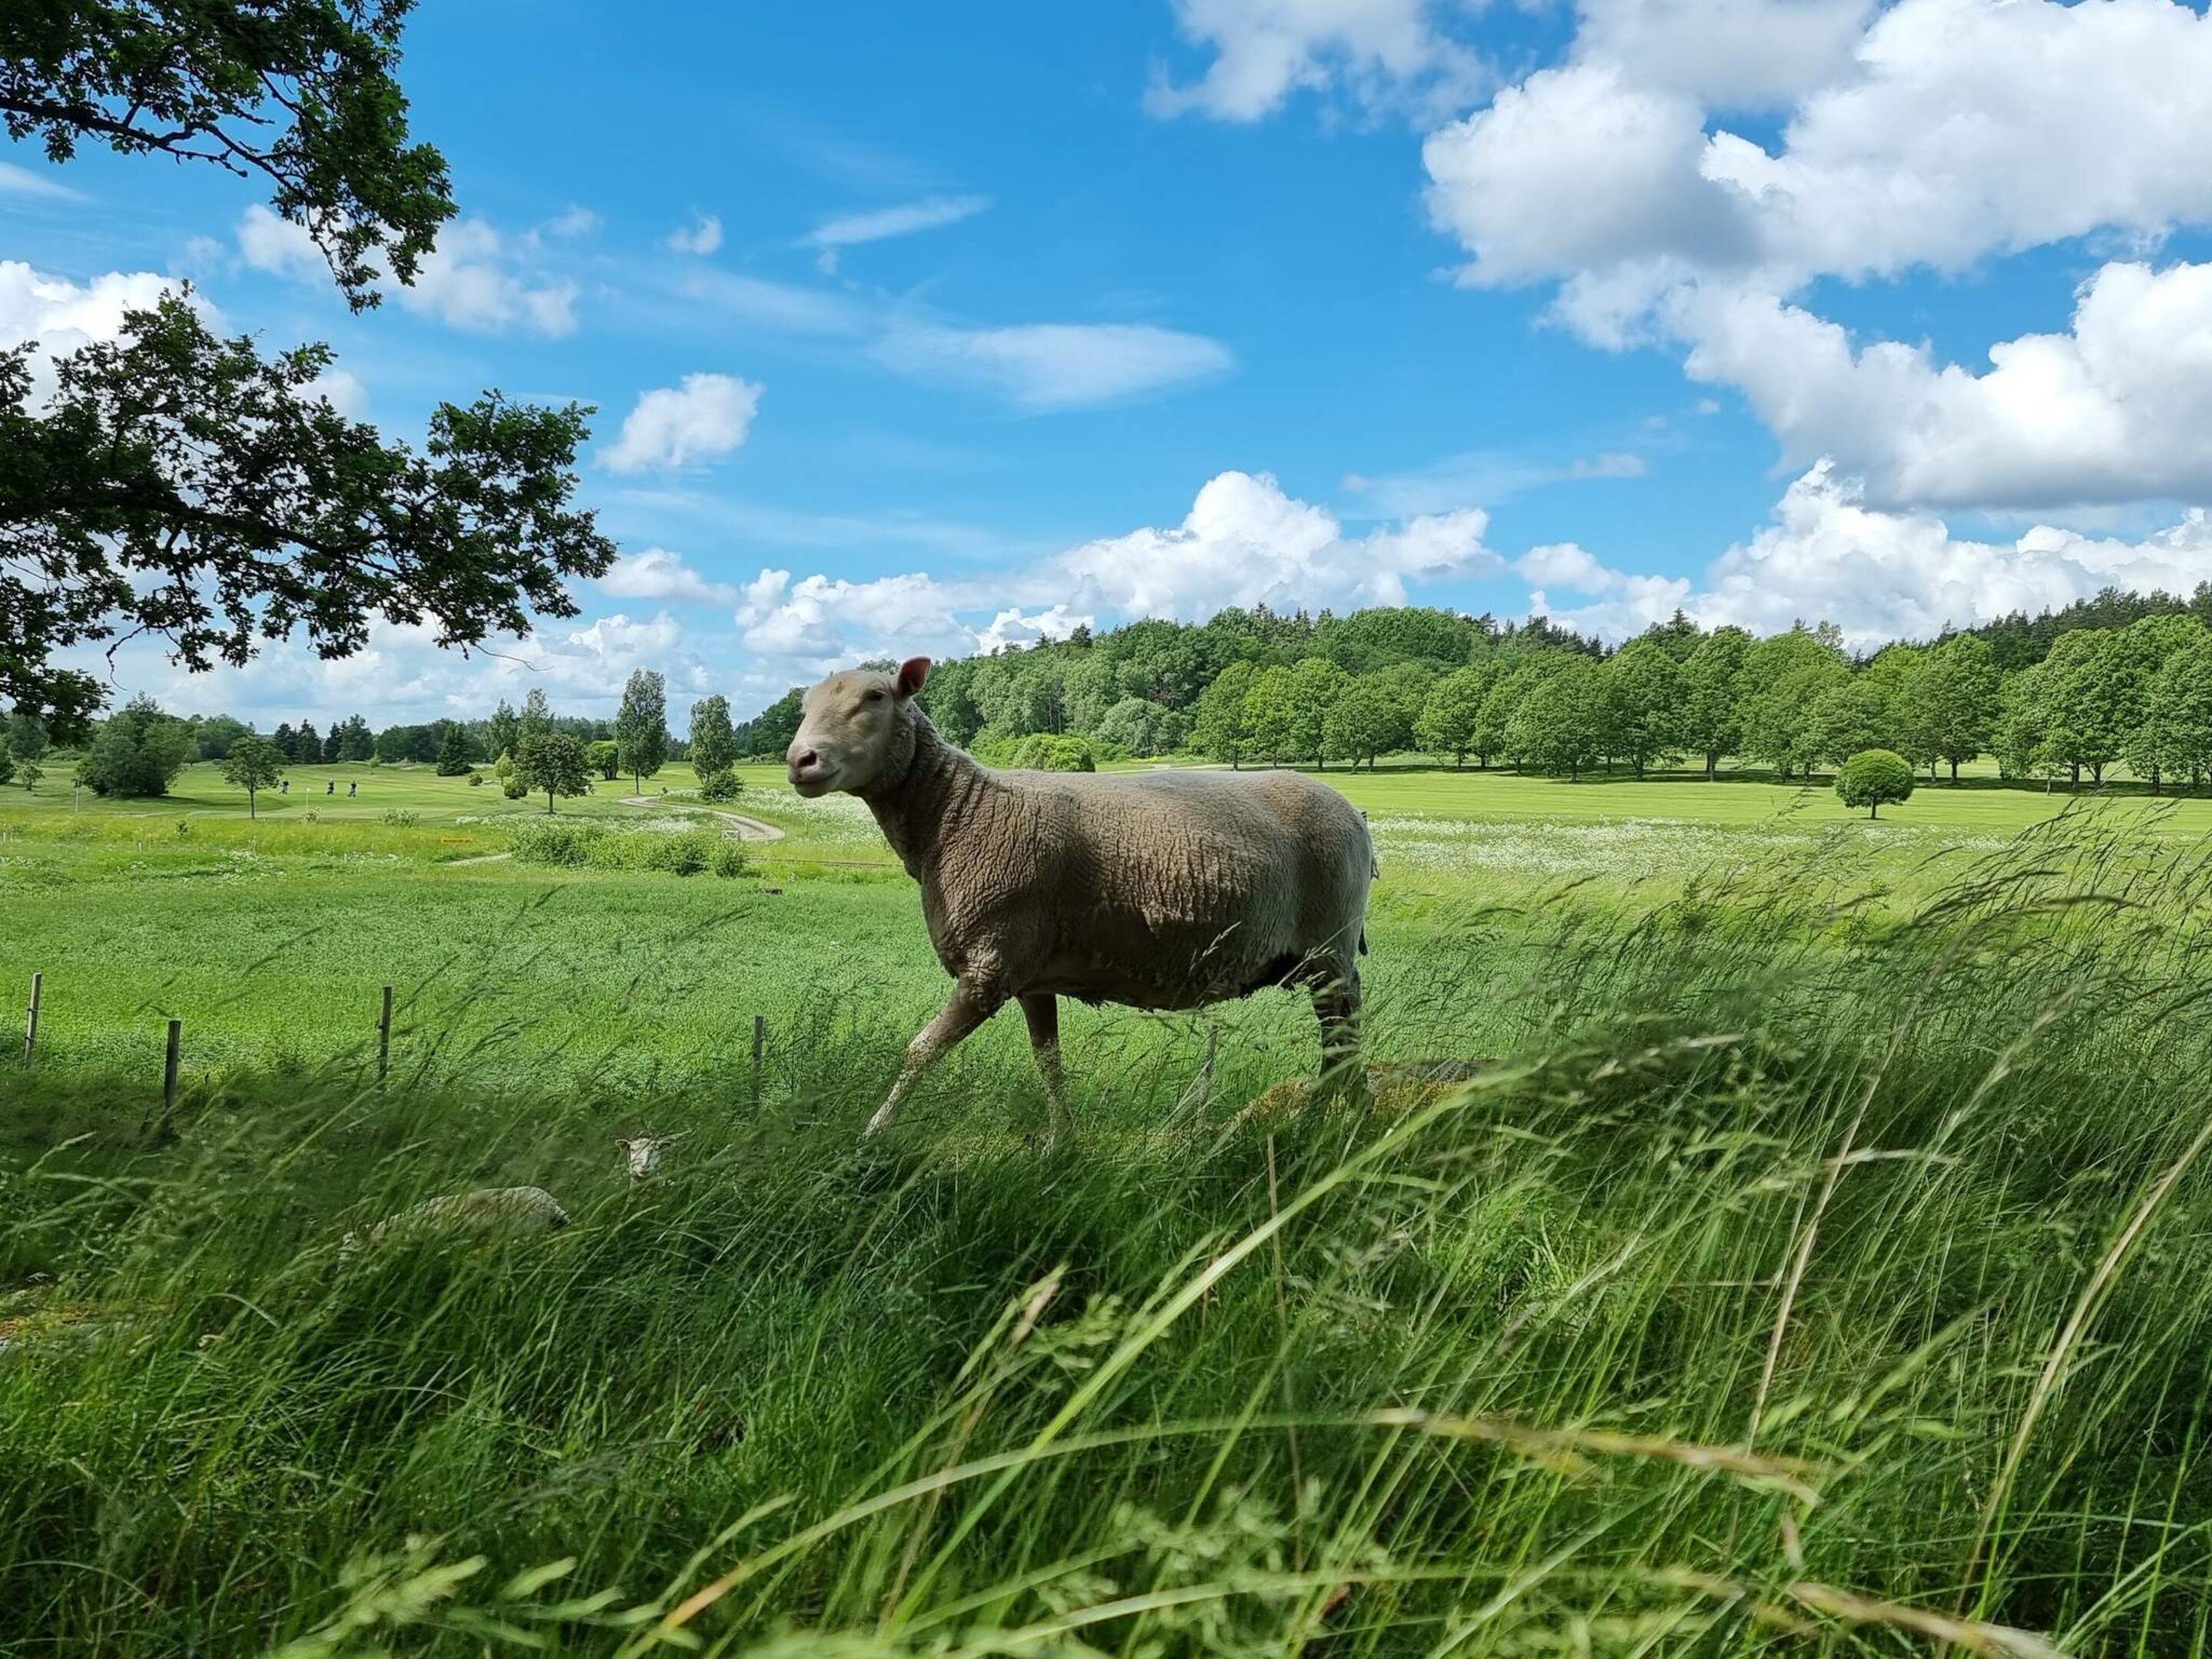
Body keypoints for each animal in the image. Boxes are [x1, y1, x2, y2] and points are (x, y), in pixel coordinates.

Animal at [786, 656, 1376, 1142]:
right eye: (804, 706)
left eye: (875, 697)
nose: (800, 760)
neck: (956, 812)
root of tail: (1356, 813)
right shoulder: (1029, 974)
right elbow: (1048, 1062)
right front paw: (1060, 1144)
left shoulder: (990, 965)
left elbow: (919, 1052)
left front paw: (869, 1137)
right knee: (1340, 1042)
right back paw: (1332, 1120)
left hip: (1330, 945)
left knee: (1342, 1040)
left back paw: (1336, 1124)